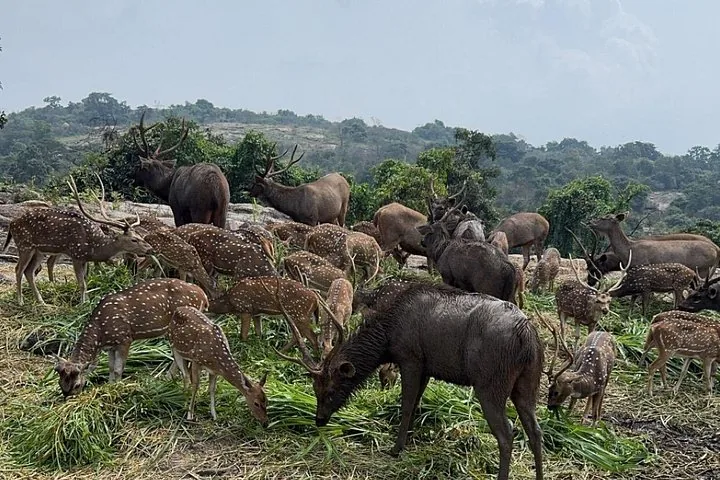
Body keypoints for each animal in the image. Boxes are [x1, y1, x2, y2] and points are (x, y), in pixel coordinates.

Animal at [3, 176, 154, 305]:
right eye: (133, 239)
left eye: (140, 235)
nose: (150, 249)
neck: (93, 247)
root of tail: (11, 224)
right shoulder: (76, 254)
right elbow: (82, 283)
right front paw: (82, 304)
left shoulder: (84, 259)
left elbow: (85, 281)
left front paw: (86, 301)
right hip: (24, 245)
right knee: (19, 269)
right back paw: (20, 301)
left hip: (39, 250)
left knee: (29, 271)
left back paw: (42, 302)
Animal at [54, 278, 209, 397]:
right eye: (60, 383)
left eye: (77, 384)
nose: (68, 398)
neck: (101, 333)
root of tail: (204, 295)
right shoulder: (111, 345)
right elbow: (111, 367)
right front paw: (109, 385)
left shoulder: (125, 338)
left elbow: (118, 368)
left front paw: (117, 387)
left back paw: (168, 378)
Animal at [275, 282, 544, 480]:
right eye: (314, 388)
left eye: (331, 389)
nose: (319, 419)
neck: (388, 338)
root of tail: (526, 334)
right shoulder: (426, 368)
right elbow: (415, 405)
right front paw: (409, 439)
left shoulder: (410, 358)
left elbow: (405, 405)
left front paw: (396, 448)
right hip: (528, 382)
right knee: (535, 430)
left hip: (490, 382)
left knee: (507, 433)